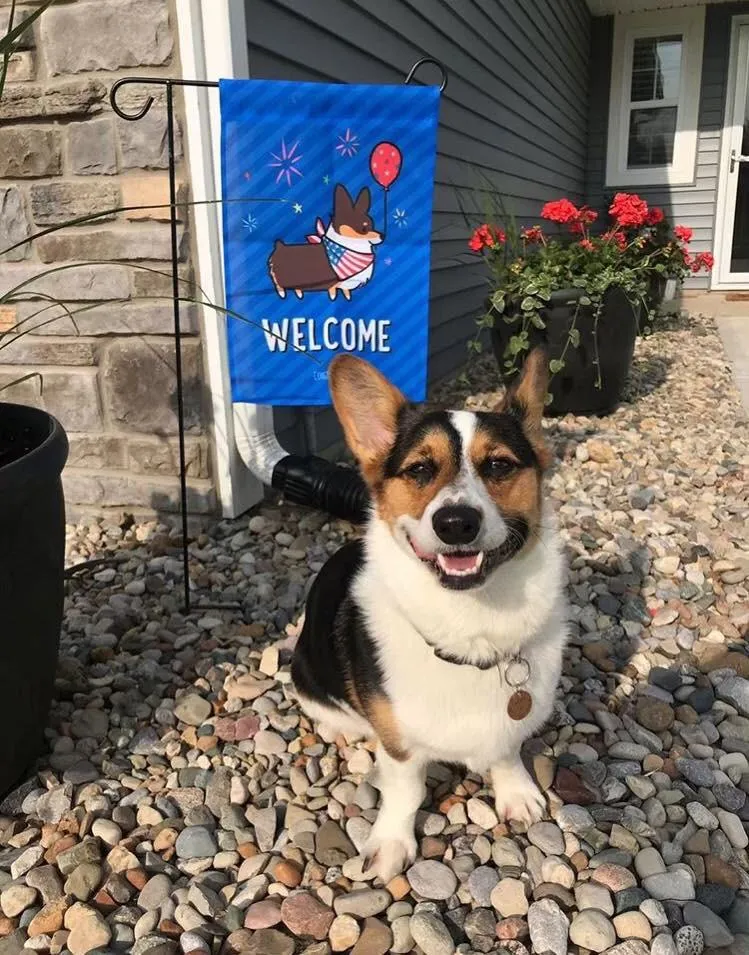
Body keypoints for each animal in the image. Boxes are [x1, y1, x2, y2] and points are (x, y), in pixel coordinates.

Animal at [292, 352, 568, 880]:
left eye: (498, 464)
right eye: (420, 469)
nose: (456, 523)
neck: (469, 626)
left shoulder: (508, 725)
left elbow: (507, 752)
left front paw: (516, 793)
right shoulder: (400, 747)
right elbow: (406, 791)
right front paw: (391, 844)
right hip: (307, 674)